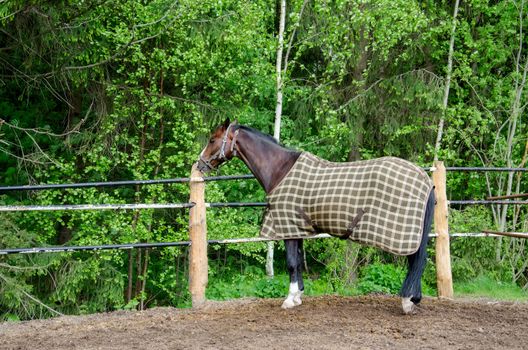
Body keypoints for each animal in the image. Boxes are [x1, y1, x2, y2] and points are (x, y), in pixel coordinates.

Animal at [196, 118, 436, 314]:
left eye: (212, 139)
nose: (199, 164)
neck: (280, 169)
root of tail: (425, 179)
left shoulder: (288, 228)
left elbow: (292, 263)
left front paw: (289, 299)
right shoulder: (297, 228)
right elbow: (299, 261)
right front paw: (298, 296)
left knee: (416, 261)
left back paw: (407, 301)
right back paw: (413, 300)